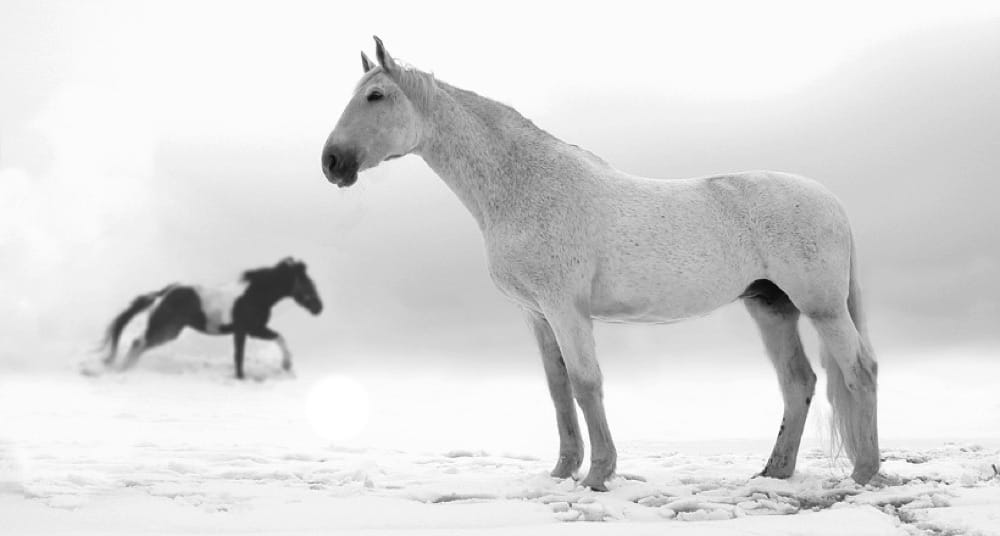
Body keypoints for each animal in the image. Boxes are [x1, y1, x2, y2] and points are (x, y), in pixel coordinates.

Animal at [99, 258, 322, 378]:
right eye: (306, 283)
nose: (319, 308)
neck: (253, 295)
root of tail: (166, 292)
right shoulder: (248, 329)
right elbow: (243, 354)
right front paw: (284, 365)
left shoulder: (249, 331)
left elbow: (253, 349)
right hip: (165, 330)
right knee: (139, 342)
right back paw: (123, 369)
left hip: (169, 331)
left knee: (140, 344)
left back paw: (125, 369)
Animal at [322, 38, 884, 490]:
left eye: (376, 96)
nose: (331, 163)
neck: (524, 185)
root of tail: (831, 201)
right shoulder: (538, 314)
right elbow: (558, 389)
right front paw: (562, 470)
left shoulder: (566, 309)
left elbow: (586, 382)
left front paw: (598, 474)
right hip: (771, 307)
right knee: (798, 382)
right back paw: (775, 472)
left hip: (823, 307)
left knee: (860, 369)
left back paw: (864, 474)